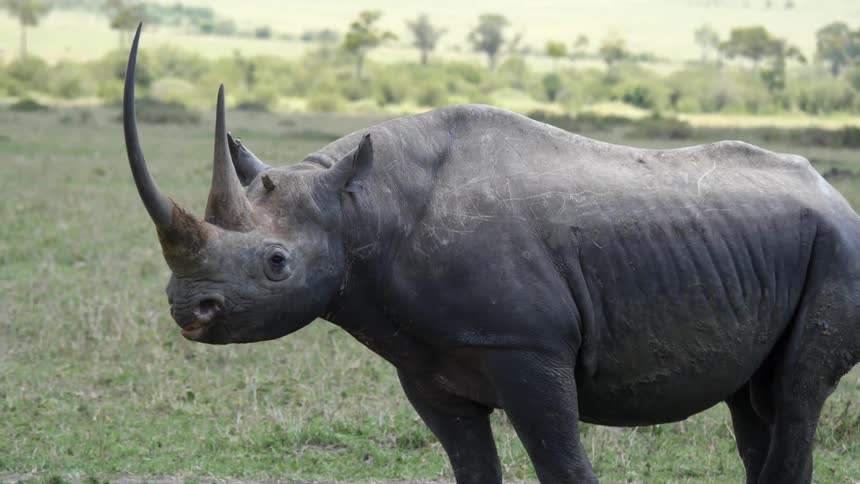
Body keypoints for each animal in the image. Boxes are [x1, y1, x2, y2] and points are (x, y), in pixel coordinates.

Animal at [122, 25, 859, 484]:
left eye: (277, 264)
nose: (188, 310)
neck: (359, 206)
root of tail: (836, 197)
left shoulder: (528, 348)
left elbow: (563, 465)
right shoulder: (426, 364)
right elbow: (472, 465)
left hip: (839, 250)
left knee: (794, 398)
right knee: (752, 403)